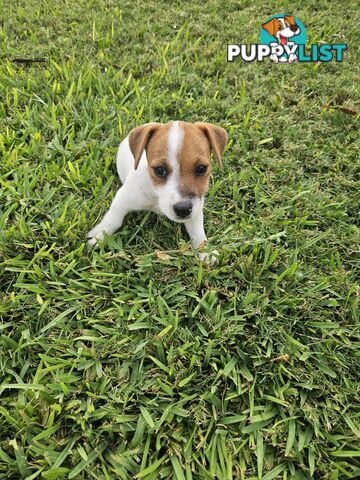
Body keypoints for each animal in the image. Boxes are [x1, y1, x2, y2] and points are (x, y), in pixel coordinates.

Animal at [87, 122, 226, 260]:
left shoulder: (196, 209)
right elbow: (114, 218)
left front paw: (205, 250)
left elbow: (198, 231)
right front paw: (100, 234)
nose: (183, 209)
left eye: (201, 168)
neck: (156, 196)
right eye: (159, 170)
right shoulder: (123, 198)